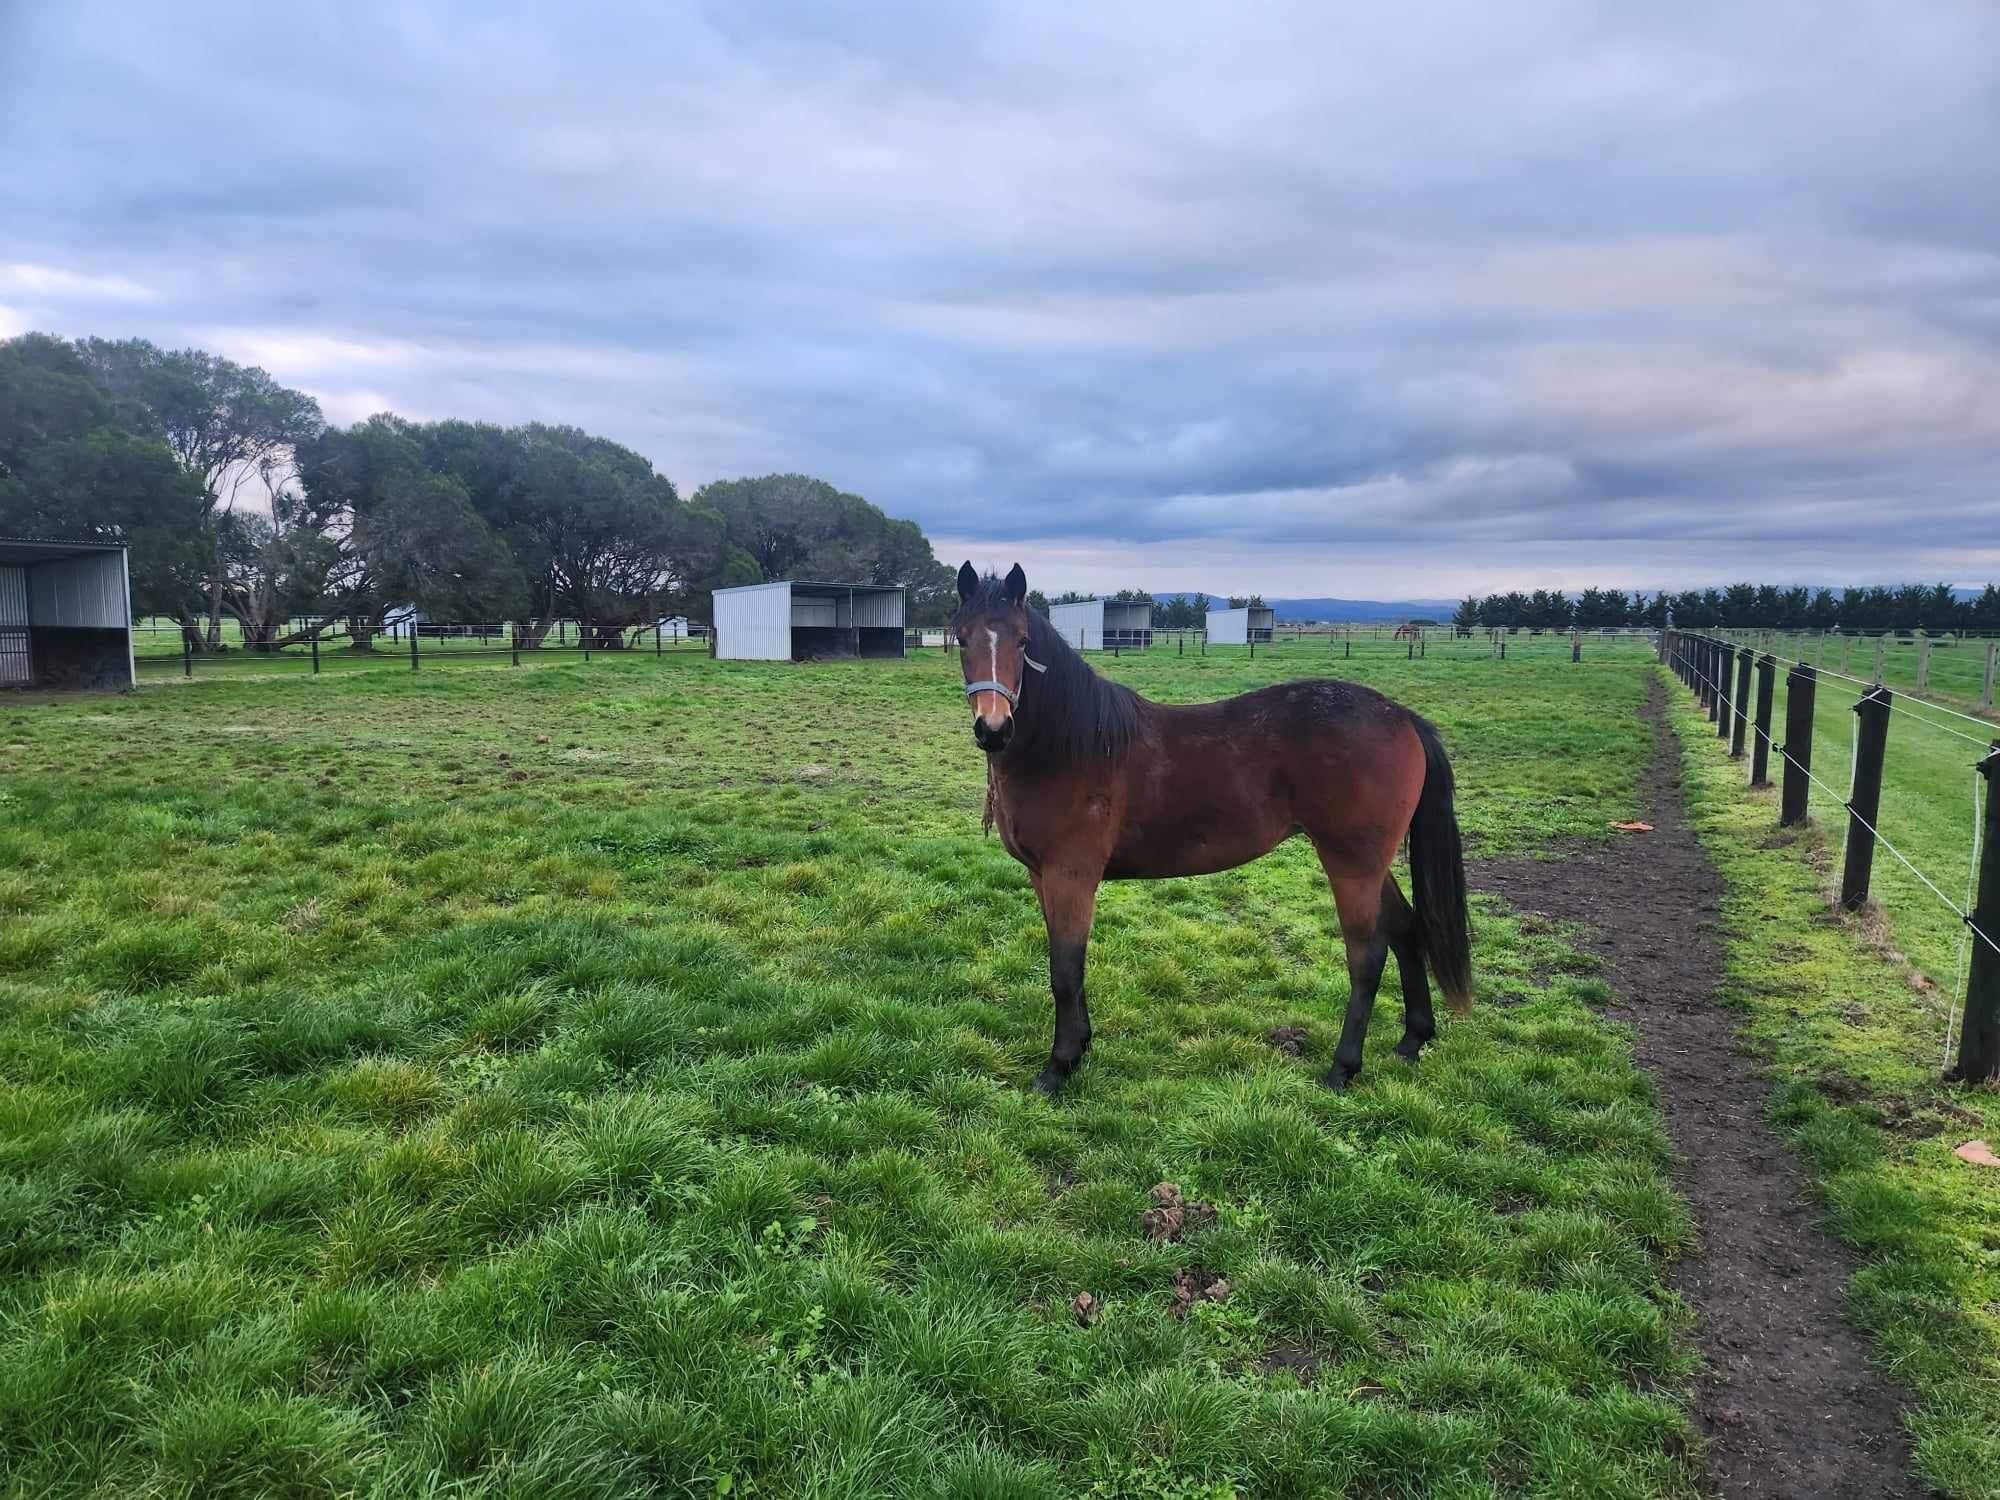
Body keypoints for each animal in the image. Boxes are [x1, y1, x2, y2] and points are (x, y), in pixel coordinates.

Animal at [953, 562, 1471, 1094]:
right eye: (961, 637)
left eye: (1021, 641)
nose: (993, 728)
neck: (1071, 746)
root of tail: (1402, 716)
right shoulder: (1042, 876)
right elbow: (1066, 968)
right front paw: (1079, 1047)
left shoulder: (1070, 876)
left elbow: (1065, 970)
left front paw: (1059, 1066)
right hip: (1371, 864)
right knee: (1406, 928)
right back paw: (1412, 1040)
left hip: (1352, 865)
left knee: (1367, 957)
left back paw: (1342, 1068)